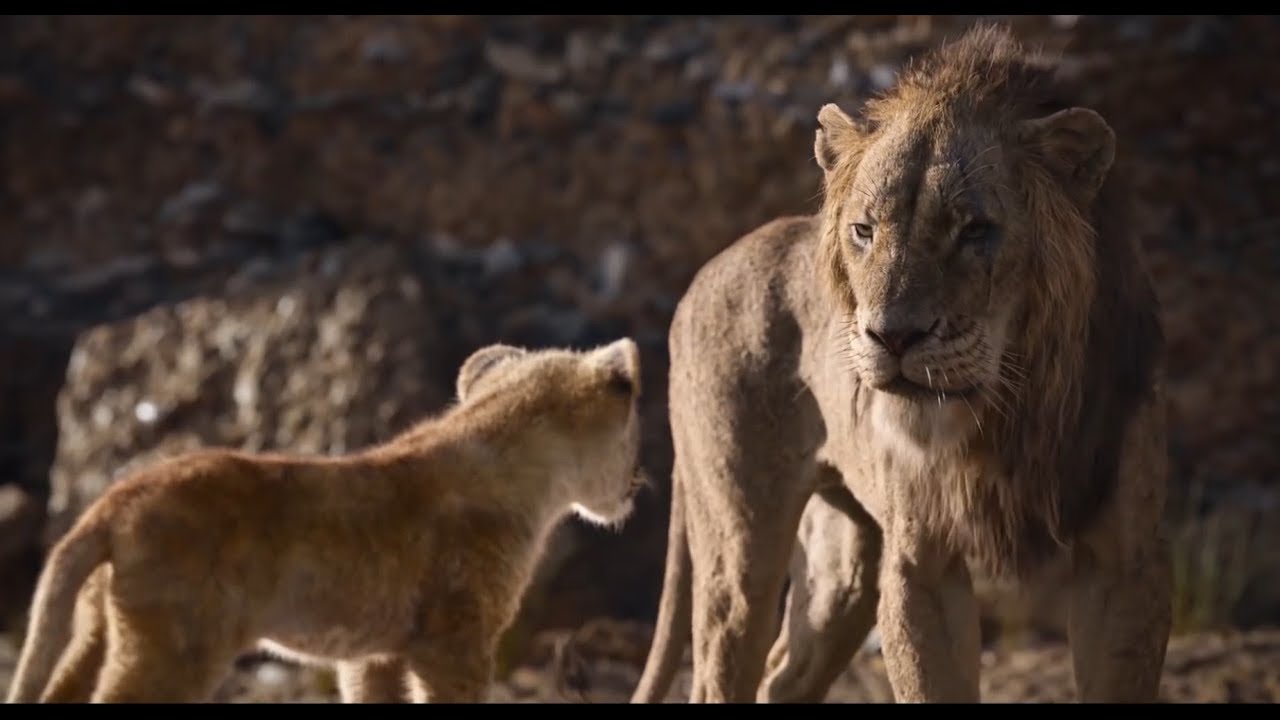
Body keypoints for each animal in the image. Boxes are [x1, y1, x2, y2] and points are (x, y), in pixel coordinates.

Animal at [6, 338, 648, 704]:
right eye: (637, 434)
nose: (638, 484)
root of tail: (112, 503)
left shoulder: (375, 653)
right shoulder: (454, 640)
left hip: (98, 631)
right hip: (176, 645)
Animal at [630, 25, 1170, 704]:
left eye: (975, 230)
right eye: (864, 230)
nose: (893, 337)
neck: (1012, 414)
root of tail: (704, 272)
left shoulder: (1127, 565)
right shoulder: (921, 562)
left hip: (845, 562)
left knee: (783, 677)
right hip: (739, 542)